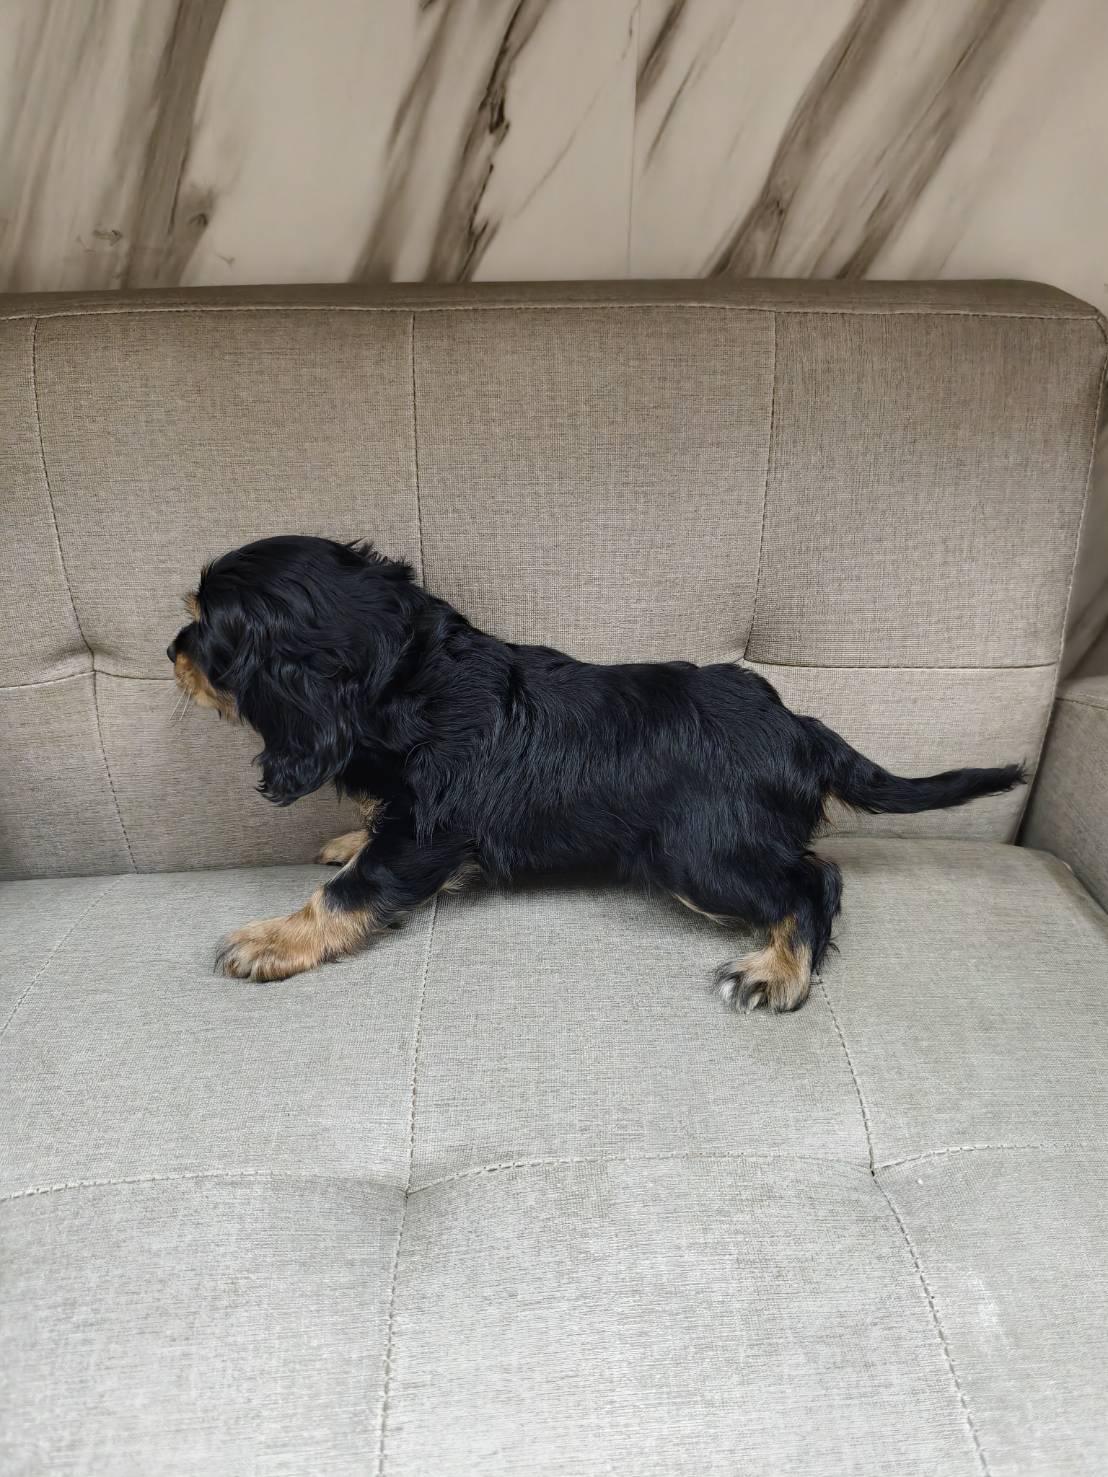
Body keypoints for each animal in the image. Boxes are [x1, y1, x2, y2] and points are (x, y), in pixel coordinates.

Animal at [168, 535, 1024, 1010]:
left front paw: (274, 938)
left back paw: (779, 970)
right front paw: (349, 837)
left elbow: (350, 892)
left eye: (208, 631)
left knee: (816, 879)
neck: (407, 674)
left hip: (693, 853)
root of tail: (802, 730)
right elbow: (364, 851)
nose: (170, 650)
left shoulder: (427, 831)